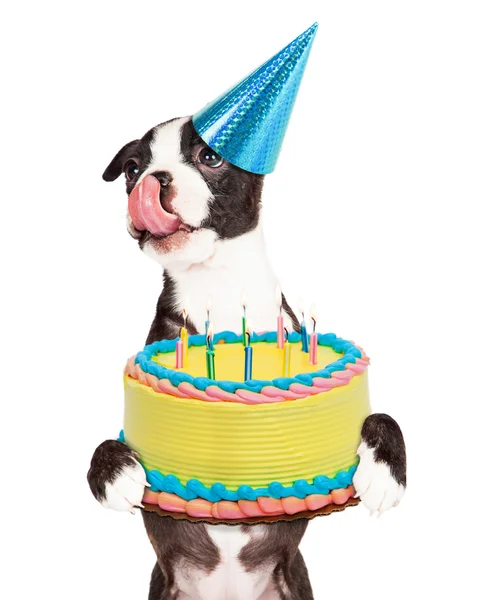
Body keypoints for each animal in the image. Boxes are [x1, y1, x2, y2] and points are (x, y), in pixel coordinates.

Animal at [88, 117, 406, 600]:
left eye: (210, 156)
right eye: (131, 168)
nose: (150, 180)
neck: (214, 283)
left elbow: (384, 415)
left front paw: (386, 473)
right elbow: (106, 443)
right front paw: (115, 472)